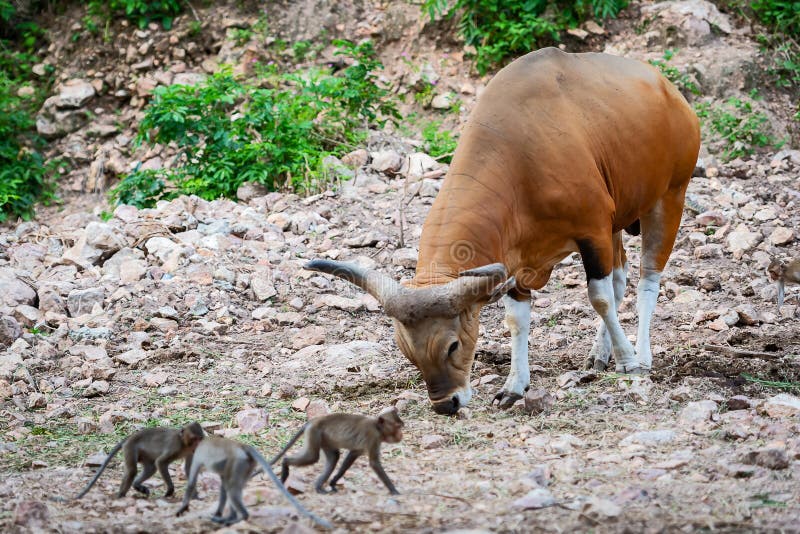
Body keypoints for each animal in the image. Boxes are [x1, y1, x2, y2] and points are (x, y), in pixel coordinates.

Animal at [52, 422, 205, 502]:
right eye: (194, 438)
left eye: (200, 438)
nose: (199, 444)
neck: (184, 444)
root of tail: (129, 437)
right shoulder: (175, 446)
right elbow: (161, 463)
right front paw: (170, 490)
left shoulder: (191, 452)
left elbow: (189, 469)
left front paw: (195, 495)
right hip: (131, 448)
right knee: (133, 470)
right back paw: (121, 496)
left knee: (150, 468)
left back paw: (137, 485)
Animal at [175, 438, 332, 528]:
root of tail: (242, 447)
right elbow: (223, 487)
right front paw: (218, 513)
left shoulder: (196, 456)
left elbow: (192, 482)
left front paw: (181, 509)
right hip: (246, 466)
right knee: (232, 487)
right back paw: (230, 518)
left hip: (238, 462)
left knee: (231, 489)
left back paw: (237, 519)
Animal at [270, 410, 406, 498]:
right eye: (398, 426)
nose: (401, 434)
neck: (377, 427)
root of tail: (314, 421)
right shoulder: (373, 437)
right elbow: (374, 463)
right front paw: (394, 490)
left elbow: (352, 455)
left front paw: (333, 482)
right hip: (314, 432)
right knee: (312, 457)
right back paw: (285, 464)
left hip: (324, 439)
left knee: (334, 457)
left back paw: (319, 487)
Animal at [306, 48, 700, 416]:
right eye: (407, 350)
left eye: (452, 345)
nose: (445, 403)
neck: (522, 160)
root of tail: (671, 93)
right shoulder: (518, 258)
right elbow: (517, 319)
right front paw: (514, 386)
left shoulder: (592, 231)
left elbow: (599, 298)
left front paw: (629, 361)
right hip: (618, 223)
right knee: (620, 280)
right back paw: (599, 354)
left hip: (668, 199)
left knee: (647, 280)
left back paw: (641, 355)